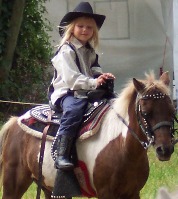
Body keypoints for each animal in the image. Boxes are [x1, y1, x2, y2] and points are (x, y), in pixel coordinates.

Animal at [0, 71, 175, 199]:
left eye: (172, 111)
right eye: (145, 113)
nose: (165, 149)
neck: (123, 147)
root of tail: (15, 121)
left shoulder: (133, 193)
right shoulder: (106, 194)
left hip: (48, 188)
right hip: (13, 184)